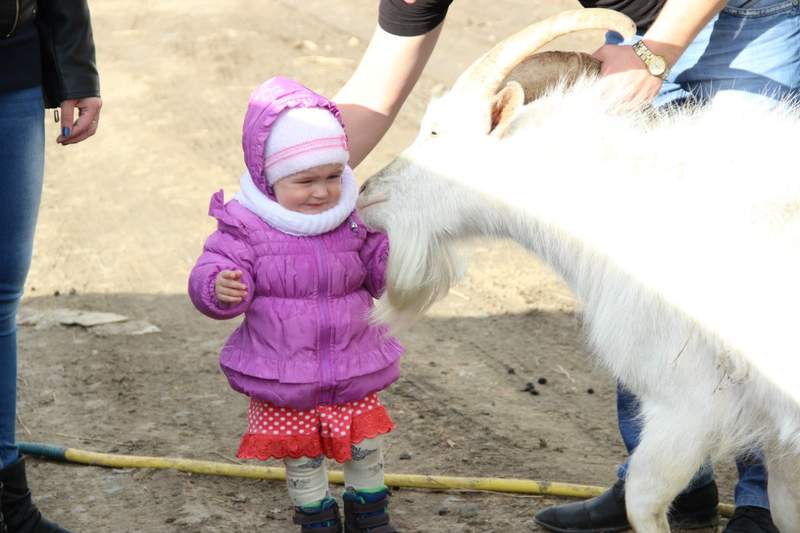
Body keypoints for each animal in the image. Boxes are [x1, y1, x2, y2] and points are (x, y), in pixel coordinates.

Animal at [356, 9, 800, 532]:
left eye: (435, 132)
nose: (366, 193)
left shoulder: (686, 404)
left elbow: (642, 498)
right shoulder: (778, 434)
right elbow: (786, 506)